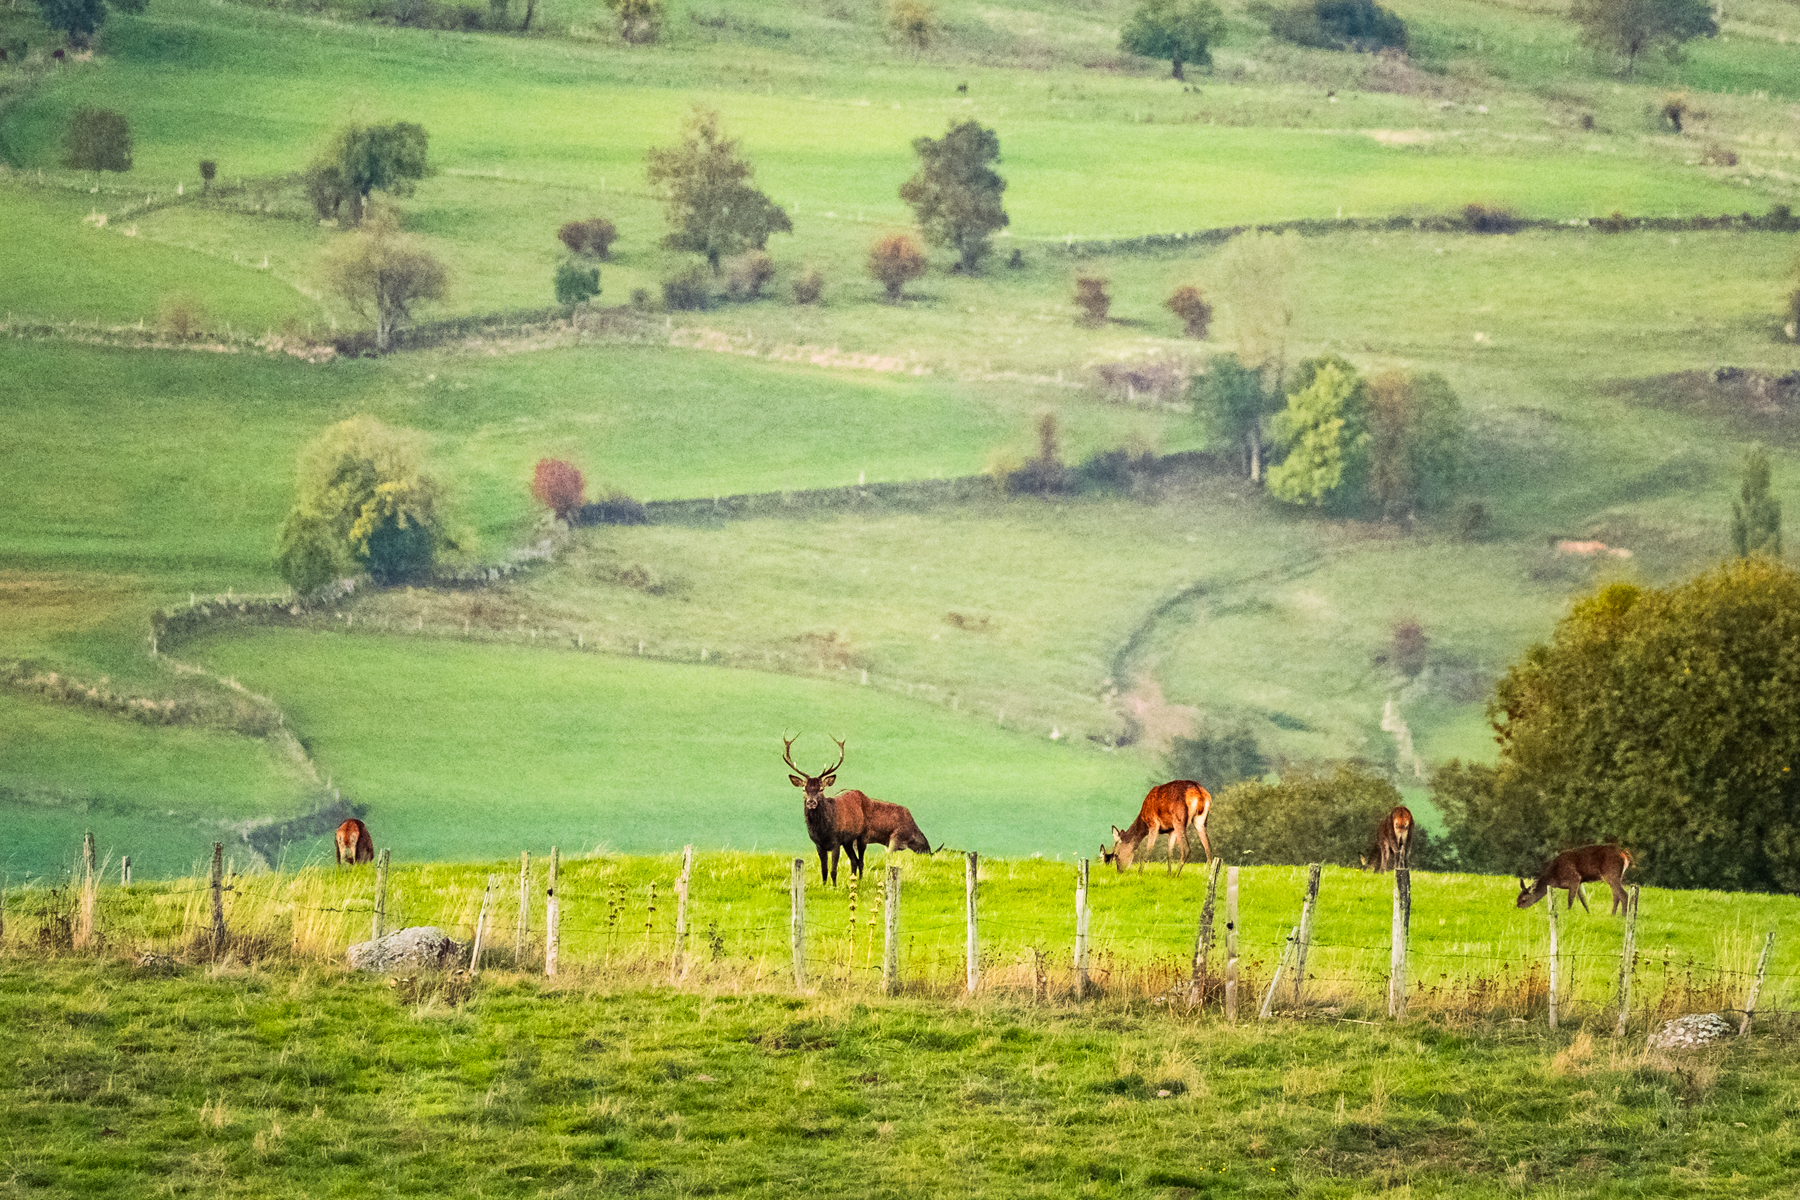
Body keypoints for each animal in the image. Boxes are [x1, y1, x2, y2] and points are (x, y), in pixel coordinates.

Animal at [784, 735, 869, 886]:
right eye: (804, 789)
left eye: (821, 789)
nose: (811, 802)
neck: (823, 831)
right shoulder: (818, 844)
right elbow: (824, 869)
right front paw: (823, 886)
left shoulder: (836, 842)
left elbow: (833, 870)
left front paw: (834, 887)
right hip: (847, 841)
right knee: (854, 860)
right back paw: (852, 880)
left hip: (862, 834)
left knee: (861, 861)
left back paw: (859, 881)